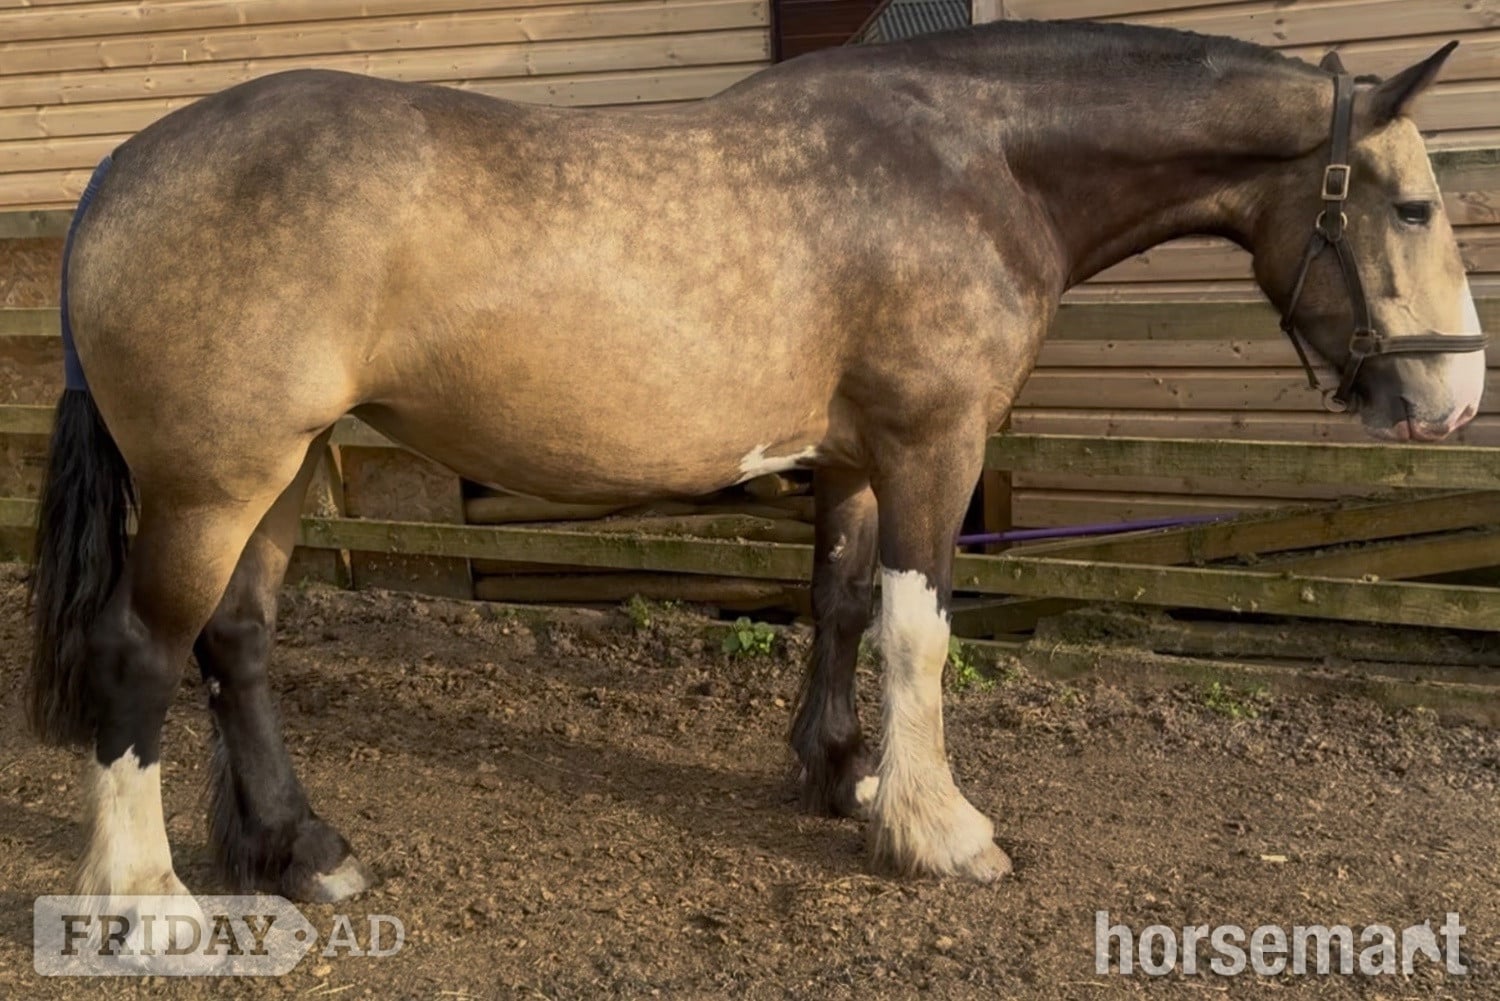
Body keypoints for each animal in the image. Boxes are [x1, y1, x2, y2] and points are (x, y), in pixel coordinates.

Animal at [27, 19, 1486, 907]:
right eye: (1414, 205)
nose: (1456, 393)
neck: (973, 166)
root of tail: (117, 174)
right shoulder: (934, 445)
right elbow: (921, 629)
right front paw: (938, 827)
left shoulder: (855, 458)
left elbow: (841, 608)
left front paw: (842, 774)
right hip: (217, 482)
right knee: (142, 654)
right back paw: (147, 898)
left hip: (279, 475)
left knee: (239, 644)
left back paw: (295, 846)